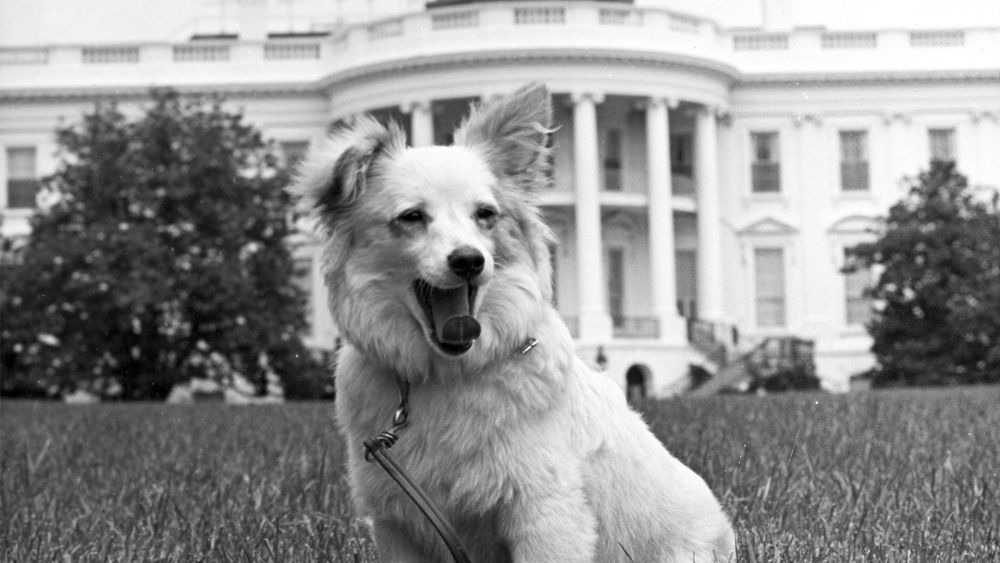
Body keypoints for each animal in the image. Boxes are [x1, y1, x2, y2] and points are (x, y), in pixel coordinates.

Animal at [292, 81, 732, 560]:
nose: (469, 260)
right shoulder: (398, 522)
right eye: (411, 217)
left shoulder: (546, 512)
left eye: (485, 214)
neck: (446, 375)